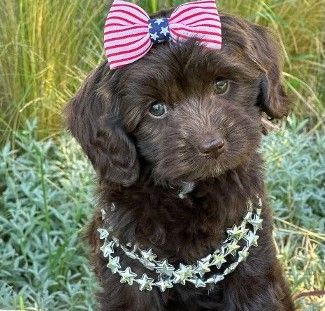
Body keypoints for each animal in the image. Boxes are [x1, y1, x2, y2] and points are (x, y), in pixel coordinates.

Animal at [66, 1, 294, 310]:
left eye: (221, 85)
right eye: (156, 109)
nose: (212, 146)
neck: (188, 194)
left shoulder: (254, 266)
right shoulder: (131, 281)